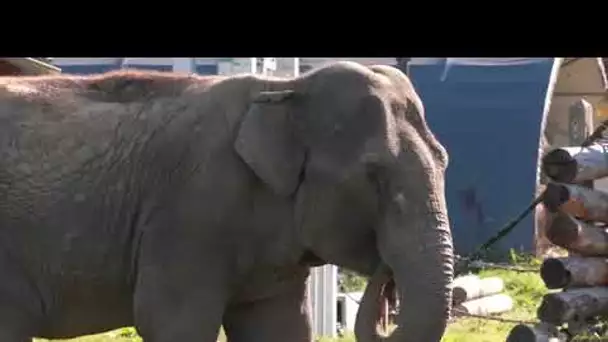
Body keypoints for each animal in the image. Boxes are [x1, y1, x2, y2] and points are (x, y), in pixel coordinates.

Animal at [0, 62, 452, 342]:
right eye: (373, 175)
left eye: (444, 159)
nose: (385, 276)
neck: (284, 89)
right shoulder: (188, 213)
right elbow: (171, 321)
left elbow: (279, 327)